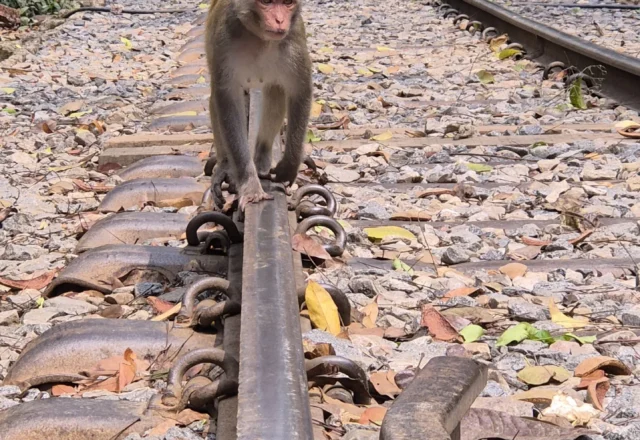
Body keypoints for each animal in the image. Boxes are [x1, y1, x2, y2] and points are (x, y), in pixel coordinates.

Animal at [205, 0, 313, 211]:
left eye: (287, 3)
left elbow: (300, 90)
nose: (279, 20)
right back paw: (225, 166)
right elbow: (228, 101)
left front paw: (290, 164)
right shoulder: (223, 41)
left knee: (276, 90)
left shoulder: (293, 39)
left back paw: (262, 155)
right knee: (215, 100)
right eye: (266, 2)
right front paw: (250, 186)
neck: (259, 38)